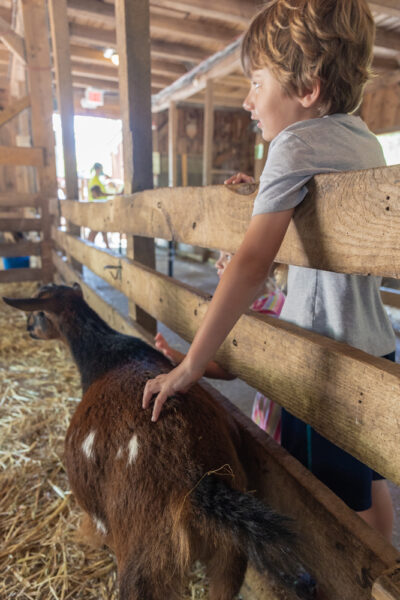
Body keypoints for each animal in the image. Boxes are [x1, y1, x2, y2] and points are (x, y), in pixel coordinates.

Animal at [3, 284, 316, 596]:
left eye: (38, 314)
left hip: (145, 560)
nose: (28, 329)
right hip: (230, 556)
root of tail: (194, 476)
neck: (106, 356)